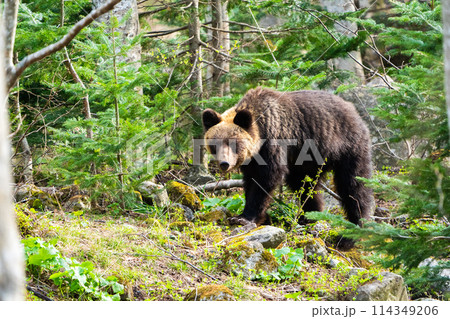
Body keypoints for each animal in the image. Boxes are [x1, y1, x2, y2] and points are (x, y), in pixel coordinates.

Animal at [202, 87, 370, 228]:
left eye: (233, 143)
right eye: (215, 143)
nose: (224, 163)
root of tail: (353, 110)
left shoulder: (274, 143)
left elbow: (265, 180)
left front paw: (246, 217)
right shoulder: (252, 161)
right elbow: (250, 180)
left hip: (347, 146)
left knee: (353, 185)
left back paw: (355, 227)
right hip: (307, 161)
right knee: (305, 186)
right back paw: (308, 217)